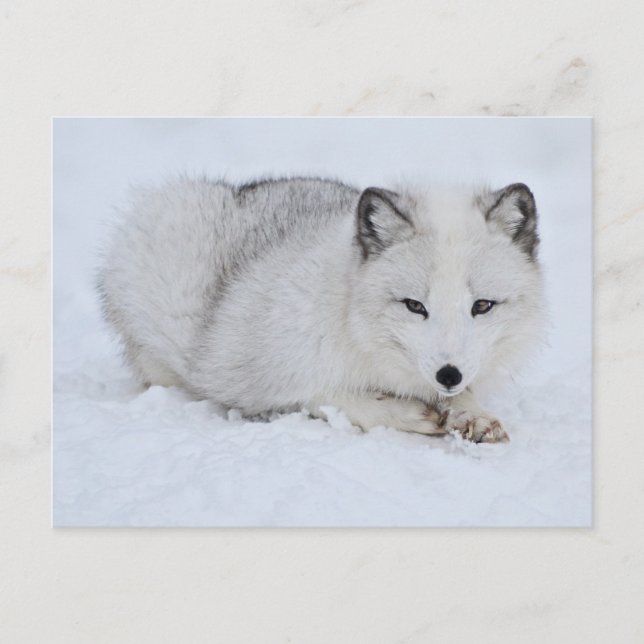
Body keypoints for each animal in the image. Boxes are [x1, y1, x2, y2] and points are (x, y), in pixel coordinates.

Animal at [98, 176, 545, 443]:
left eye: (482, 305)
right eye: (415, 305)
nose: (447, 374)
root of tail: (239, 189)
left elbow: (466, 397)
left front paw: (472, 414)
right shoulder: (261, 382)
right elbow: (327, 397)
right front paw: (409, 413)